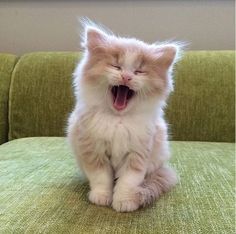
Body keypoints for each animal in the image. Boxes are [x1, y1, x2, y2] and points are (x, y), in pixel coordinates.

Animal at [67, 21, 183, 212]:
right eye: (116, 66)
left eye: (139, 71)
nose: (126, 77)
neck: (118, 120)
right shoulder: (94, 150)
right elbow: (101, 178)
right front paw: (101, 197)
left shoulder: (137, 154)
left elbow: (128, 182)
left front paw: (124, 202)